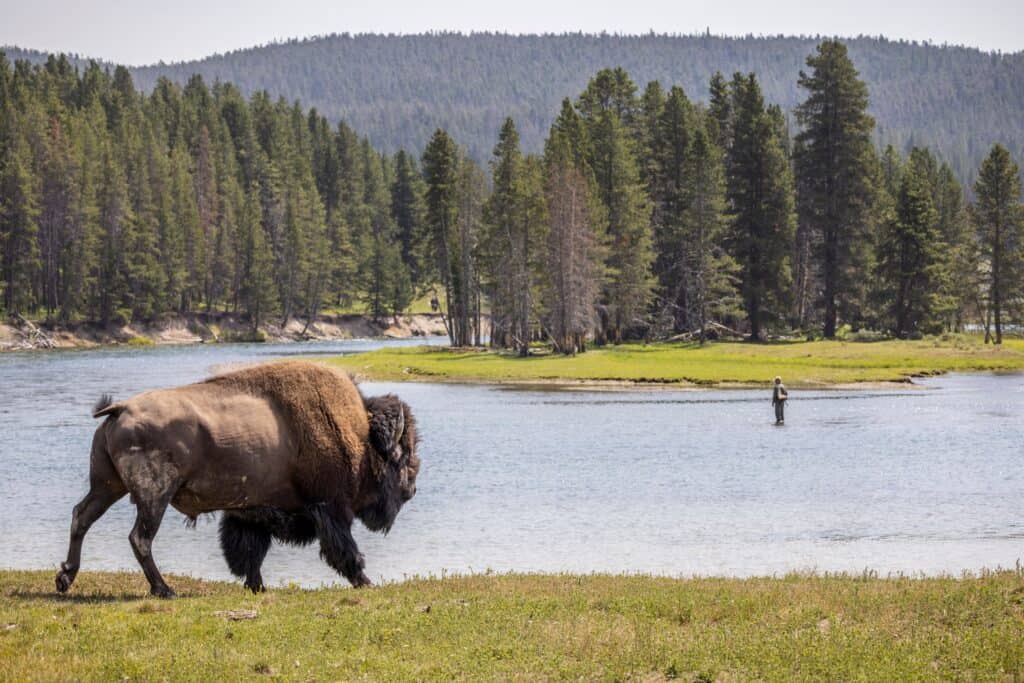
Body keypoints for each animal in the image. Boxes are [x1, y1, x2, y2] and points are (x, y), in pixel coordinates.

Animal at [50, 360, 419, 593]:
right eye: (403, 454)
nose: (412, 489)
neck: (360, 433)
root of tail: (121, 409)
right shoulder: (330, 509)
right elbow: (345, 550)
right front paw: (366, 582)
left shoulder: (249, 514)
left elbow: (248, 554)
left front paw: (257, 587)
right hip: (154, 497)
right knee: (140, 538)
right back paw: (164, 589)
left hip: (106, 486)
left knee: (82, 517)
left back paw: (65, 578)